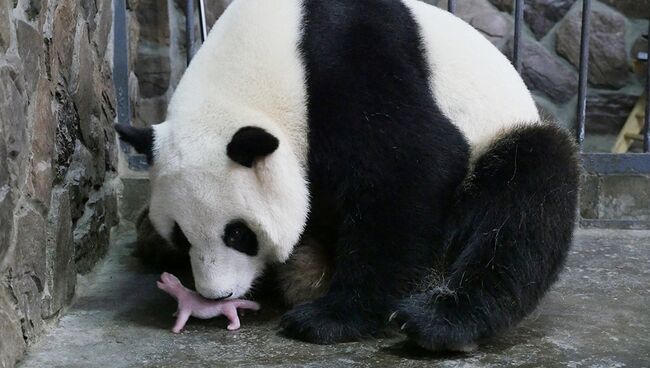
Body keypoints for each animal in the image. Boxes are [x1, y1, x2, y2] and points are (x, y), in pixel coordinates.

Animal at [115, 0, 576, 350]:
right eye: (182, 236)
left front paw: (331, 318)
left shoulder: (348, 61)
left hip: (501, 141)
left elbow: (412, 167)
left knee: (527, 196)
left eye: (239, 234)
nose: (217, 295)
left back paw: (438, 322)